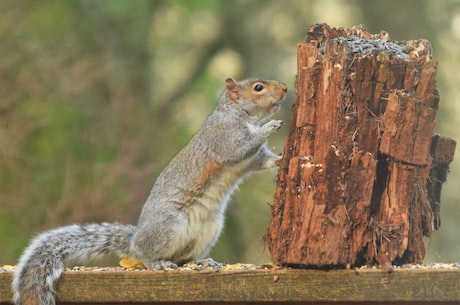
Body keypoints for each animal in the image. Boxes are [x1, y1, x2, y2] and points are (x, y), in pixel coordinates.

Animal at [11, 76, 288, 304]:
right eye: (258, 87)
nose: (285, 88)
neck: (239, 114)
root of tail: (134, 240)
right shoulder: (225, 138)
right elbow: (243, 147)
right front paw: (270, 126)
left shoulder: (251, 160)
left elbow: (262, 161)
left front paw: (282, 158)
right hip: (166, 226)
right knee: (147, 255)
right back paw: (158, 263)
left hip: (209, 230)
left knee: (182, 258)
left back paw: (201, 261)